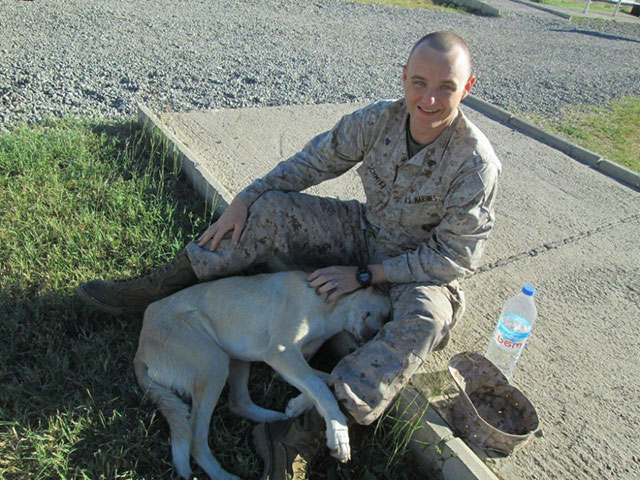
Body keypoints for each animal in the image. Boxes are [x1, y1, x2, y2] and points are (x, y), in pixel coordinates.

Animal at [135, 272, 390, 478]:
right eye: (387, 317)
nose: (374, 337)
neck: (331, 309)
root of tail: (140, 347)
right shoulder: (282, 353)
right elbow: (321, 387)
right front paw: (339, 436)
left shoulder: (286, 363)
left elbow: (327, 379)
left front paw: (298, 405)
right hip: (214, 364)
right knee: (196, 441)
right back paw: (223, 475)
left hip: (235, 359)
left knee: (238, 403)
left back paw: (276, 419)